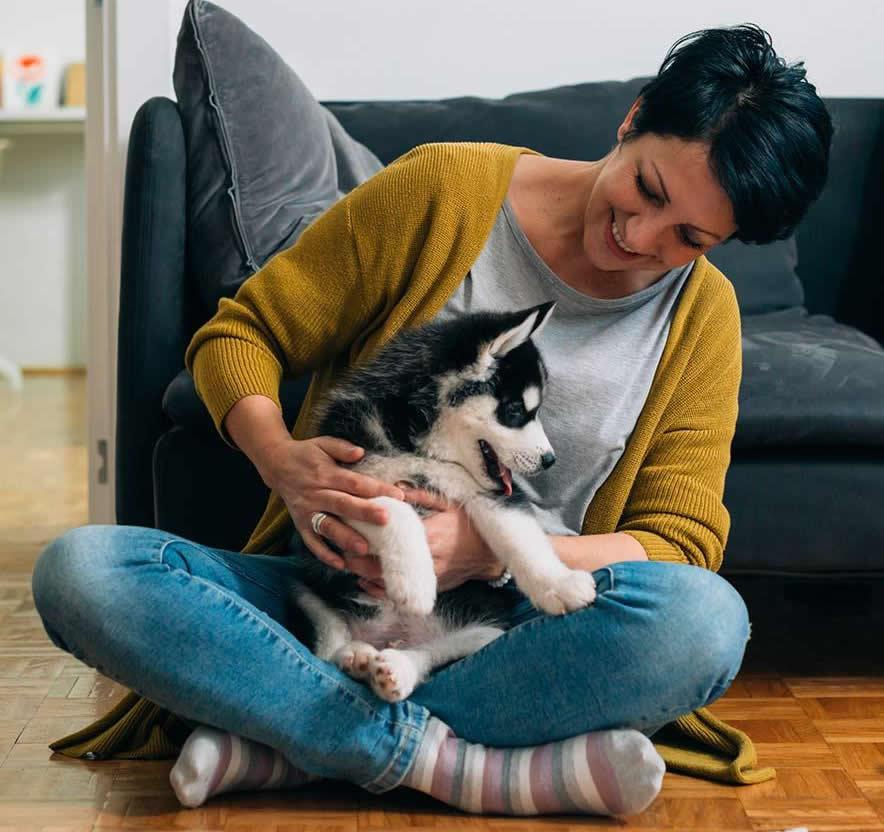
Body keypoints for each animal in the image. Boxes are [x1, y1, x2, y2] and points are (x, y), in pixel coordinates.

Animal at [286, 302, 596, 700]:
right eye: (513, 411)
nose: (549, 460)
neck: (423, 448)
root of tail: (392, 637)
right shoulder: (338, 480)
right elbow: (393, 505)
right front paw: (414, 581)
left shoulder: (493, 494)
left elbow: (523, 539)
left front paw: (560, 584)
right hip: (305, 588)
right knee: (328, 644)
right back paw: (356, 656)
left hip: (487, 633)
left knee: (431, 656)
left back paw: (394, 670)